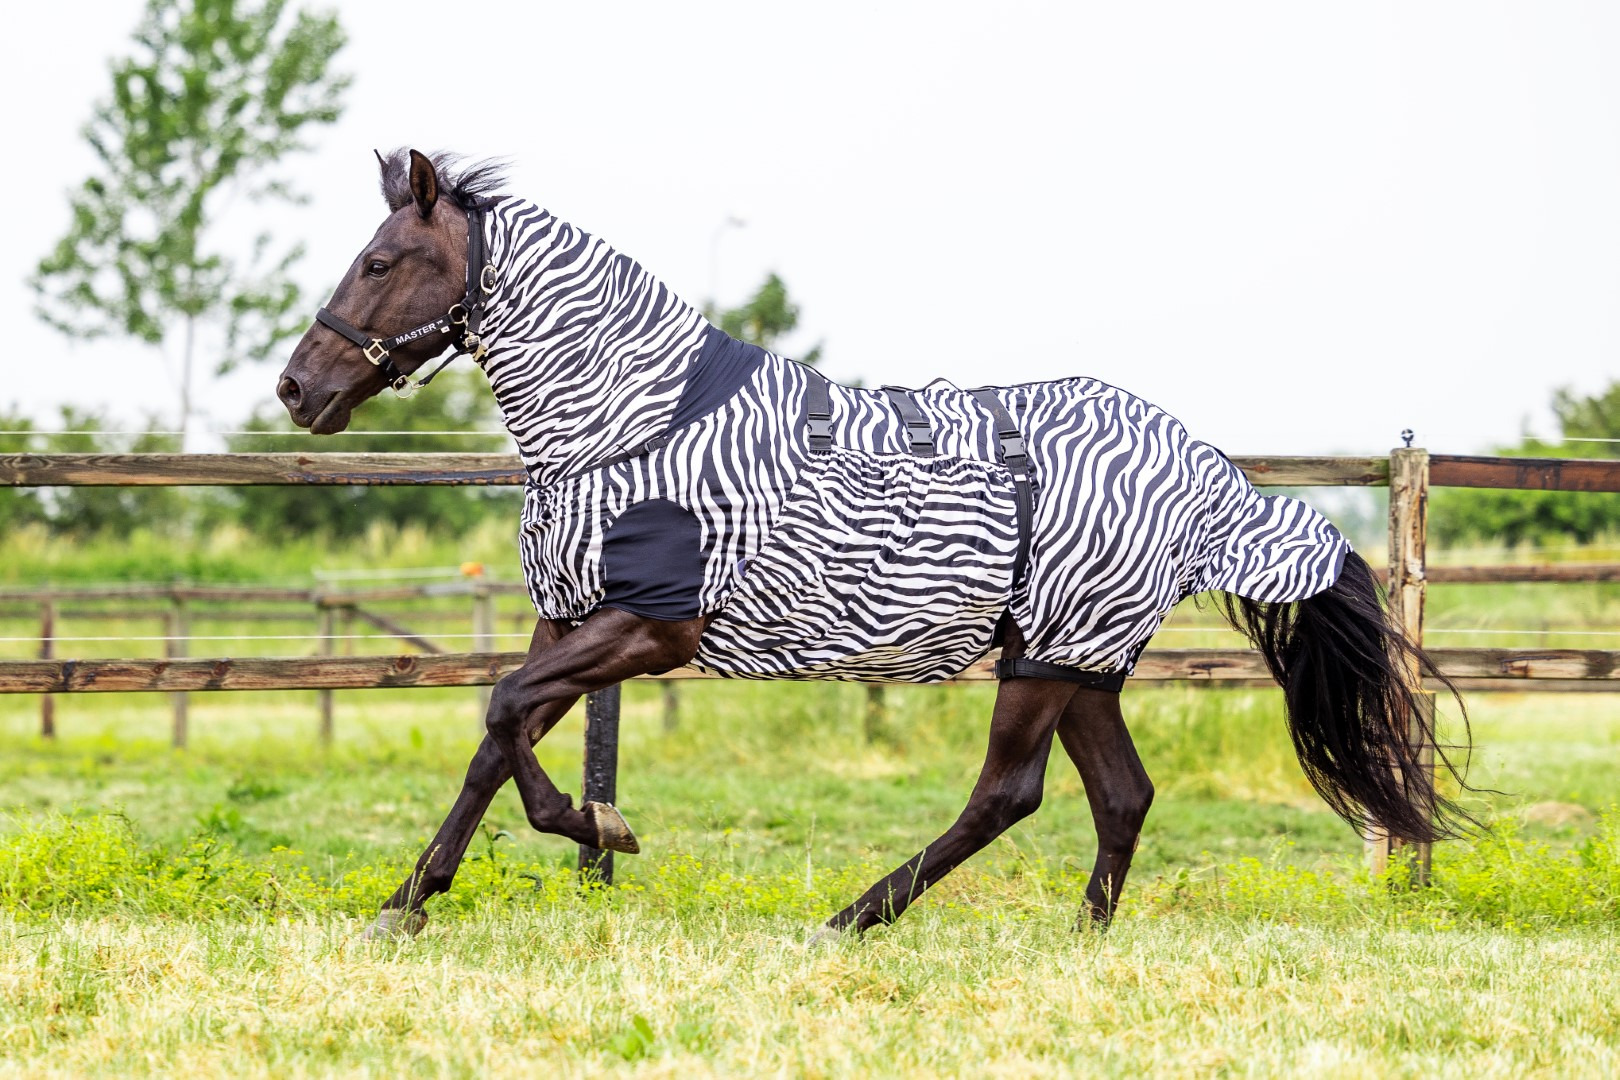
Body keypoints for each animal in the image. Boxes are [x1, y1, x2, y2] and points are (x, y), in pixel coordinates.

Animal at [278, 149, 1470, 941]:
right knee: (1121, 795)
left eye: (381, 261)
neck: (636, 423)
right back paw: (1081, 935)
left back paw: (855, 917)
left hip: (1048, 660)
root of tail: (1209, 473)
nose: (297, 389)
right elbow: (496, 735)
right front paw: (405, 905)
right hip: (1071, 660)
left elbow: (504, 715)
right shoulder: (565, 616)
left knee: (1009, 794)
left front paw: (599, 825)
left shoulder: (651, 630)